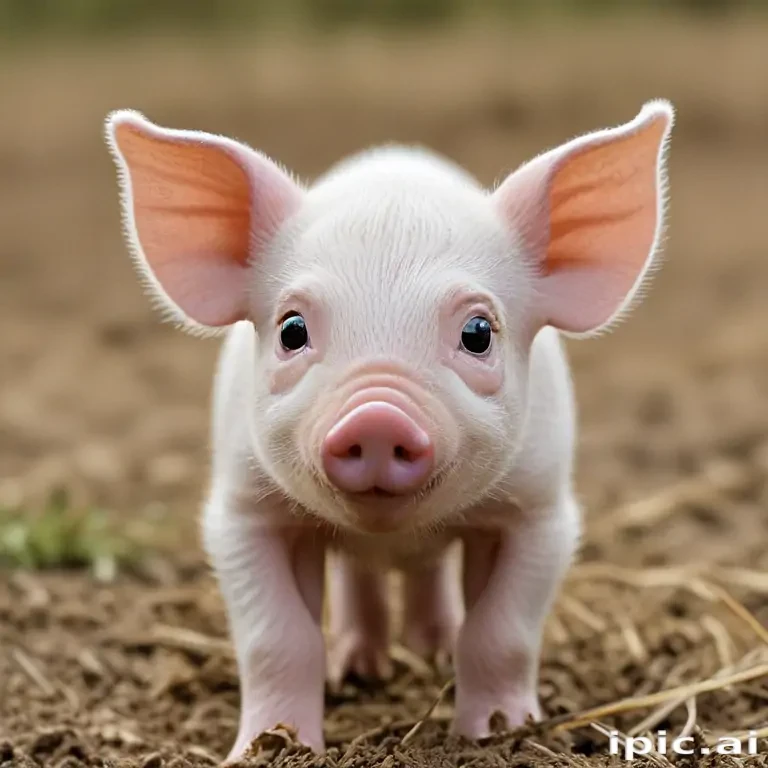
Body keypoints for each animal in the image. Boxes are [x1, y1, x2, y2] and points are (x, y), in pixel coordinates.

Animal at [105, 99, 674, 760]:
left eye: (478, 332)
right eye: (292, 329)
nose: (377, 416)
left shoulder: (541, 511)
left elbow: (501, 632)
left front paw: (498, 730)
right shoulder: (242, 511)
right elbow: (277, 639)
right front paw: (271, 747)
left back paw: (432, 652)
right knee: (360, 577)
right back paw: (360, 669)